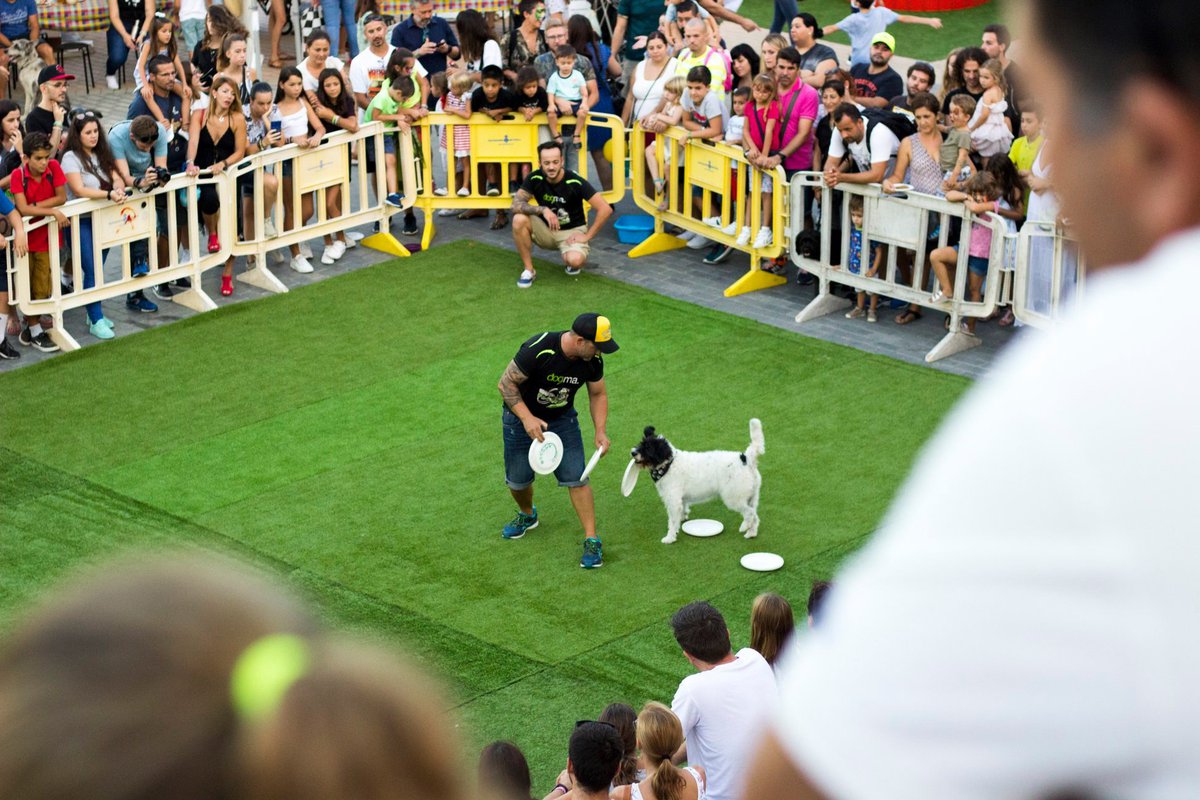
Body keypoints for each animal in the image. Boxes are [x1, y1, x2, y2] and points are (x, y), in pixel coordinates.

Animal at [633, 419, 763, 544]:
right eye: (641, 443)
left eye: (648, 448)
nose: (633, 452)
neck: (669, 464)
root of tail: (746, 458)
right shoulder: (680, 499)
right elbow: (682, 511)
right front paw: (682, 519)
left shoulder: (673, 501)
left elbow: (672, 521)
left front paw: (670, 538)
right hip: (752, 497)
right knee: (755, 516)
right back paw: (751, 533)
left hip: (734, 498)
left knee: (750, 513)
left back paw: (745, 526)